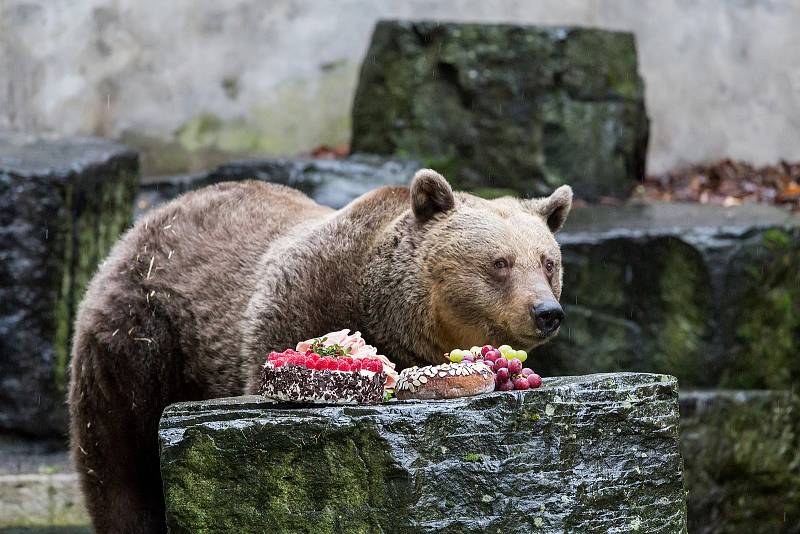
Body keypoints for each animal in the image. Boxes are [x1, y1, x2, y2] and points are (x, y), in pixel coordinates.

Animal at [67, 170, 568, 532]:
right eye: (499, 263)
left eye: (548, 262)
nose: (547, 311)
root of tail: (142, 224)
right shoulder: (296, 305)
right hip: (143, 333)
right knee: (115, 452)